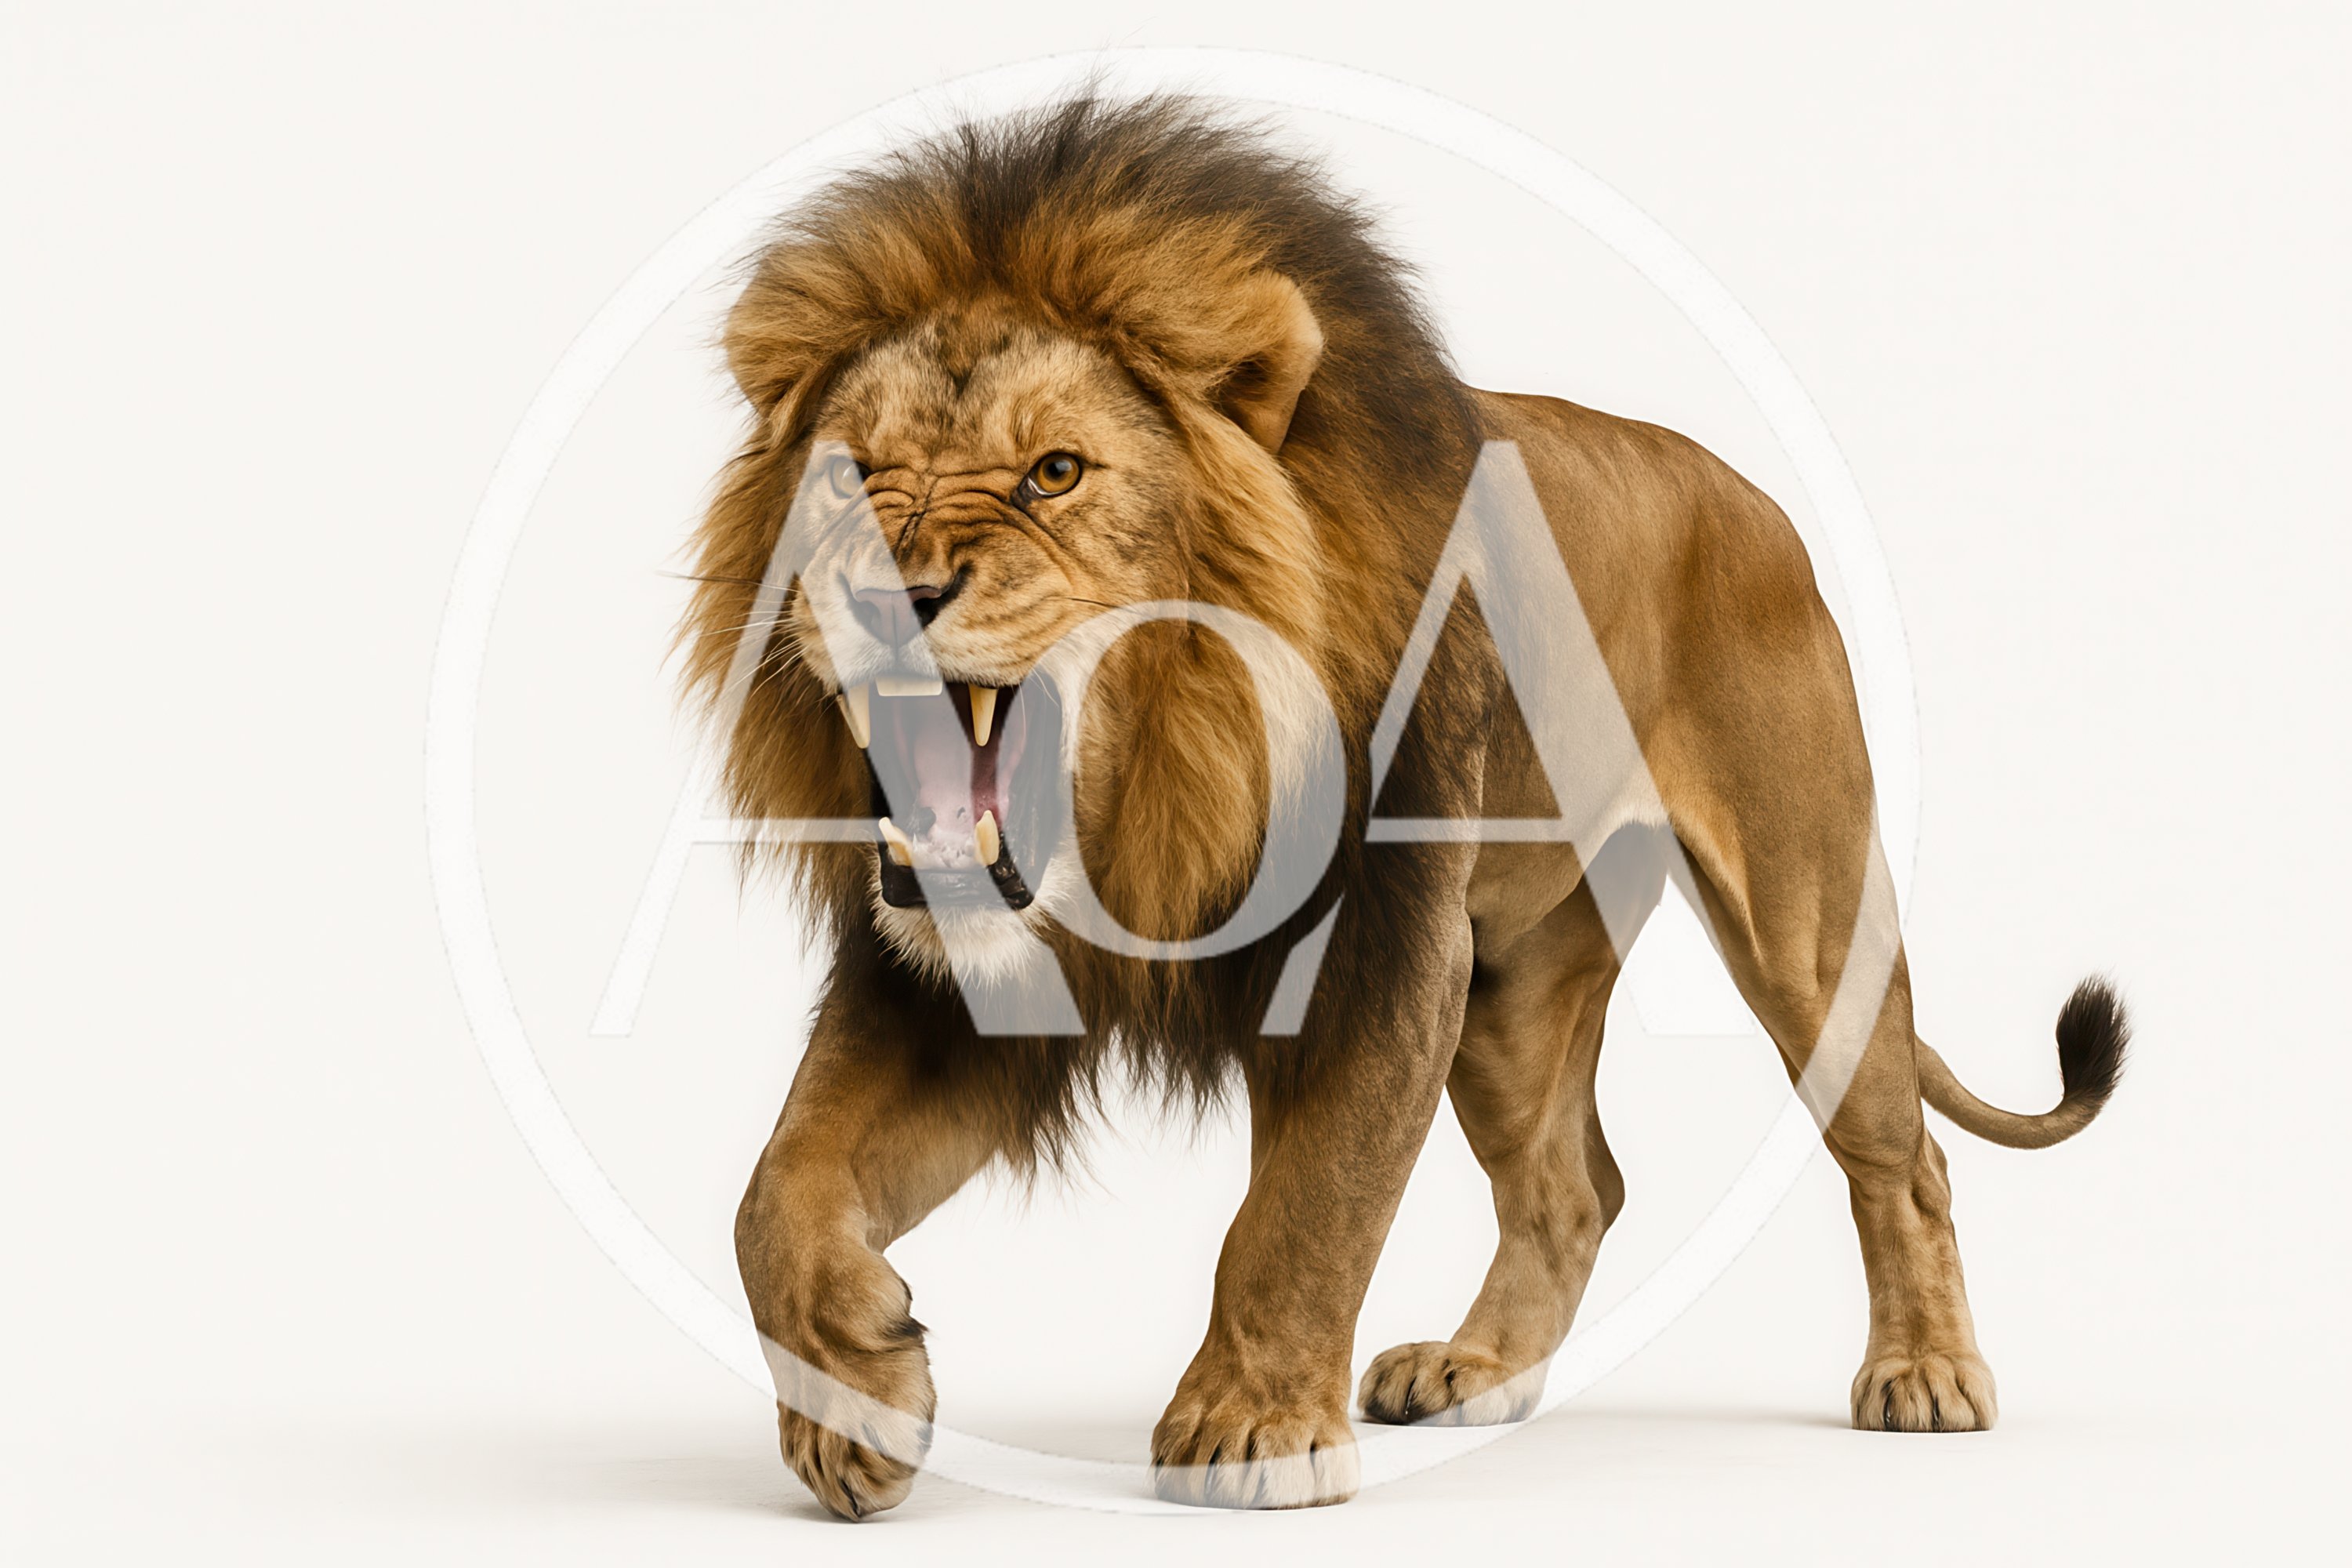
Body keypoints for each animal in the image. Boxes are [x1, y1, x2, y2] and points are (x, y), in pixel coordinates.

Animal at [679, 96, 2129, 1518]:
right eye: (849, 473)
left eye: (1053, 473)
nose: (889, 593)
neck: (1156, 802)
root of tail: (1752, 498)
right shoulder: (955, 983)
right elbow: (773, 1193)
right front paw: (855, 1395)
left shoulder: (1377, 947)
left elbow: (1308, 1203)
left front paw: (1251, 1425)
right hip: (1515, 984)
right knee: (1574, 1189)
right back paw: (1475, 1369)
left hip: (1806, 926)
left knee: (1904, 1161)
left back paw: (1928, 1373)